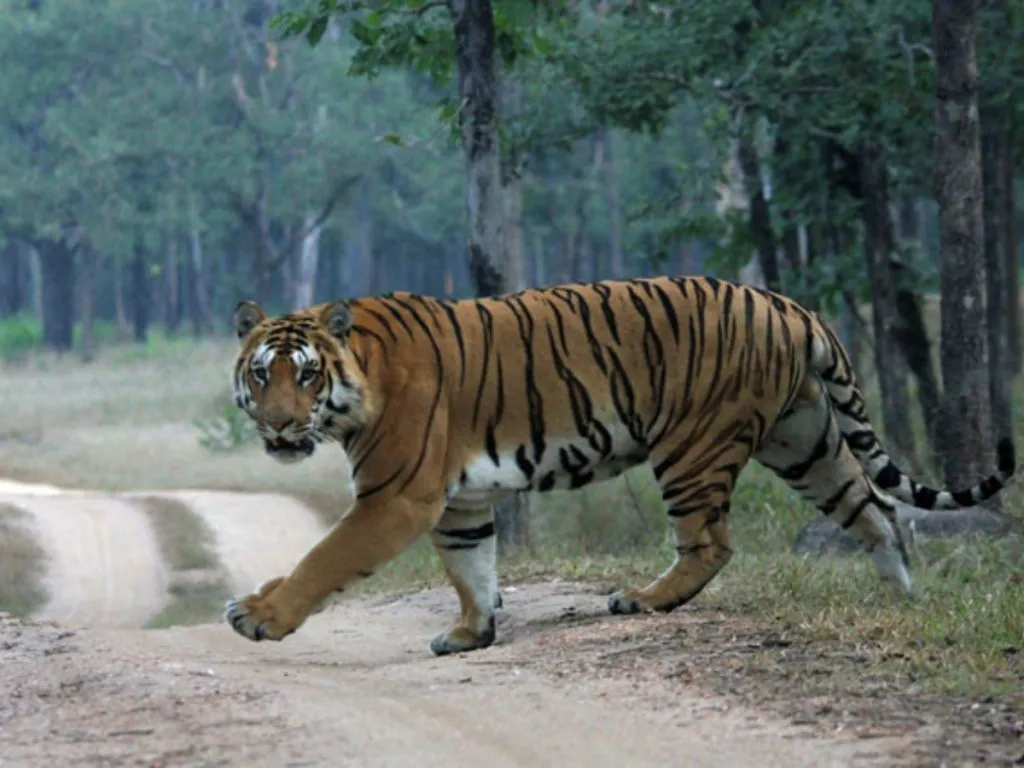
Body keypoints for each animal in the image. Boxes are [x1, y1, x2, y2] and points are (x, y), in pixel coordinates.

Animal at [223, 276, 1015, 656]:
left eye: (305, 376)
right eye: (263, 375)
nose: (280, 424)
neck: (359, 384)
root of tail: (788, 304)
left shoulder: (398, 497)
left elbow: (323, 559)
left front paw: (260, 616)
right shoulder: (459, 504)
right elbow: (473, 569)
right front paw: (471, 634)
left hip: (694, 445)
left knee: (710, 544)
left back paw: (642, 598)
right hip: (805, 440)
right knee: (875, 509)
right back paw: (901, 597)